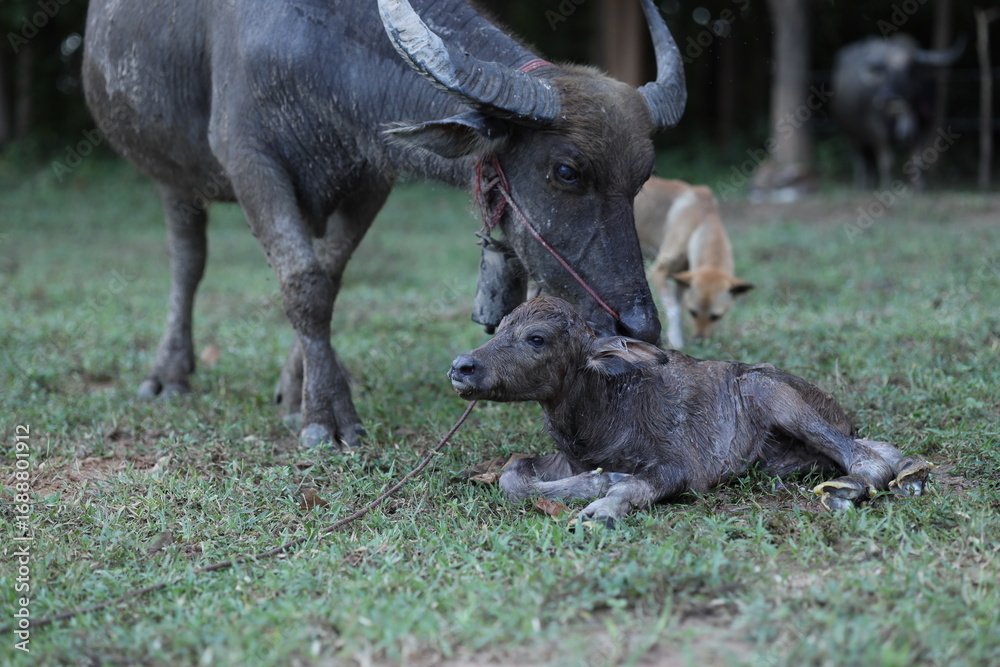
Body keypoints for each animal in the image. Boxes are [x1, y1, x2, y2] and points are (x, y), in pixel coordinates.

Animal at [82, 0, 686, 448]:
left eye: (642, 176)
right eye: (566, 171)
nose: (639, 325)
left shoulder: (371, 177)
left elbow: (327, 278)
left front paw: (304, 387)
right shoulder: (250, 162)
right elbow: (302, 284)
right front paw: (326, 417)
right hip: (173, 176)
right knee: (188, 263)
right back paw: (169, 373)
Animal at [448, 297, 931, 525]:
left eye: (537, 338)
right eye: (501, 327)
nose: (461, 367)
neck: (603, 410)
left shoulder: (681, 467)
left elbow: (633, 485)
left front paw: (602, 506)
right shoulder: (568, 459)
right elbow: (512, 475)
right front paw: (598, 482)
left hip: (767, 389)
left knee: (862, 455)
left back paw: (847, 489)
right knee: (869, 443)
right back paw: (911, 472)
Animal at [831, 34, 963, 189]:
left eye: (910, 69)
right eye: (885, 70)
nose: (887, 97)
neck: (903, 112)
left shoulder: (925, 125)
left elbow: (918, 158)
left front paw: (919, 188)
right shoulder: (876, 127)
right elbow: (887, 160)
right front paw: (887, 185)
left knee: (868, 158)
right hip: (851, 134)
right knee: (860, 158)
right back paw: (861, 186)